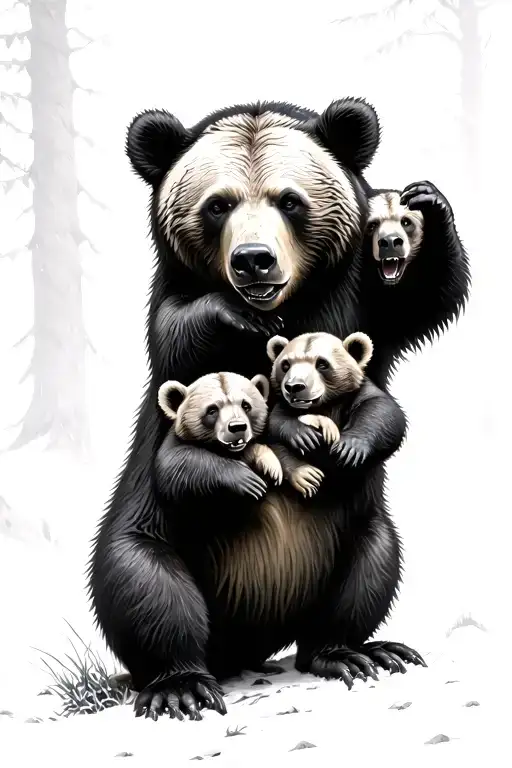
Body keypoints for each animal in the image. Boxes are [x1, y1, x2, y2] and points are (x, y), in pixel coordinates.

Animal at [88, 98, 466, 721]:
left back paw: (353, 651)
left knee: (370, 571)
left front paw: (427, 202)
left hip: (355, 530)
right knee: (144, 586)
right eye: (218, 204)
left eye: (289, 201)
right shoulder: (174, 323)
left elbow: (422, 300)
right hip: (151, 530)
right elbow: (177, 332)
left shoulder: (361, 301)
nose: (254, 261)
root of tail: (249, 640)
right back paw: (180, 682)